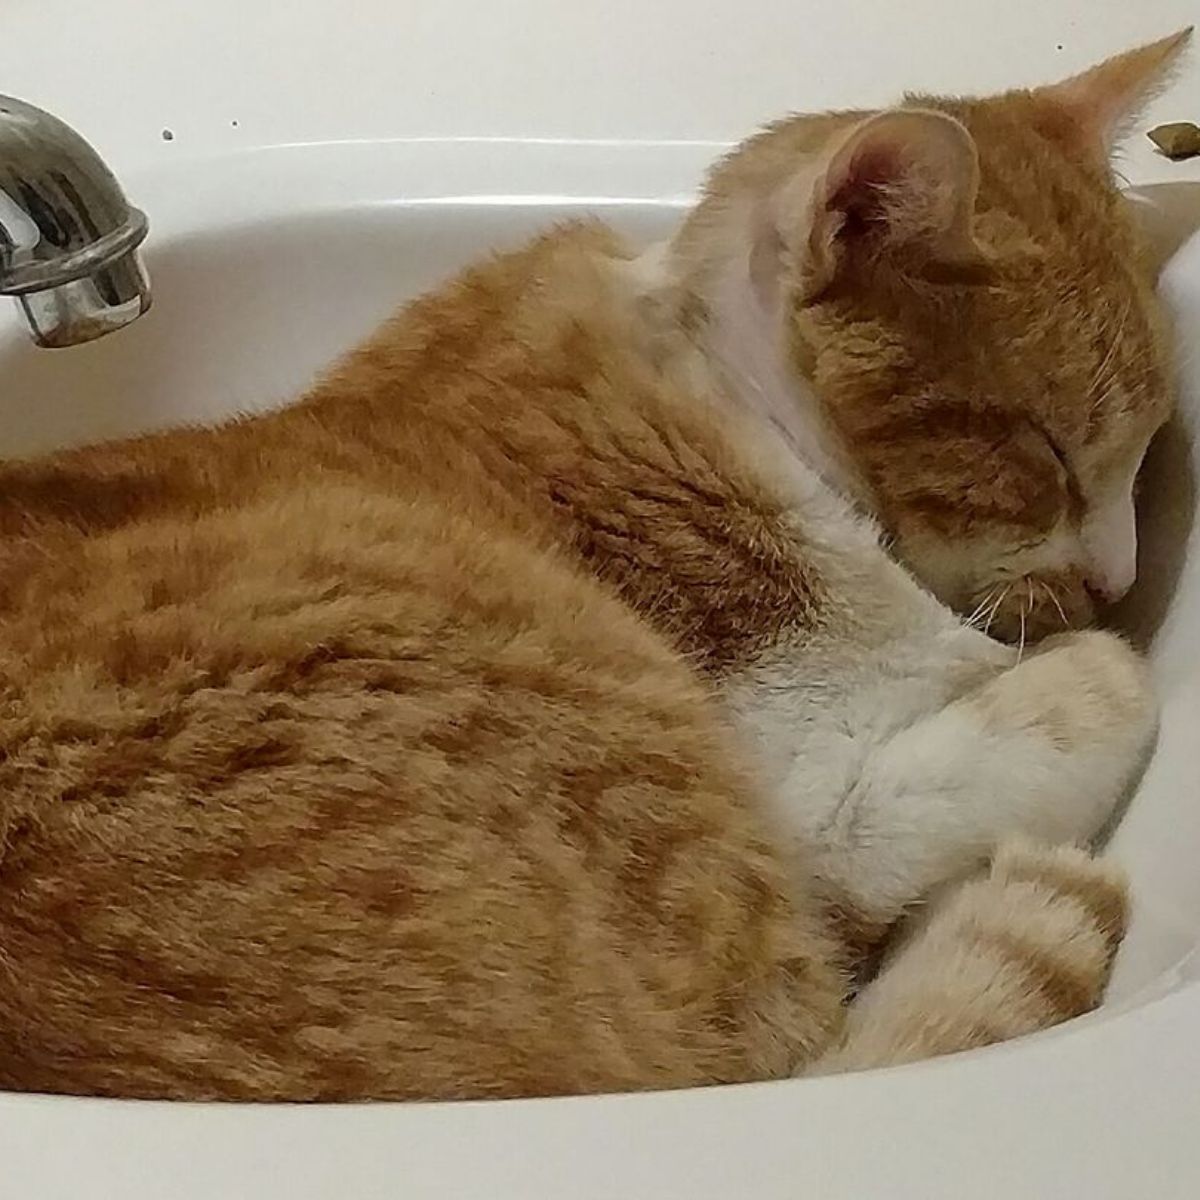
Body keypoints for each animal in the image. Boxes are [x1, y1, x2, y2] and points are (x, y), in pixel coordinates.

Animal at [0, 32, 1180, 1099]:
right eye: (1047, 450)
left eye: (1148, 449)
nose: (1121, 584)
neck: (719, 392)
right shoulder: (822, 810)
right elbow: (1044, 716)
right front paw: (1099, 667)